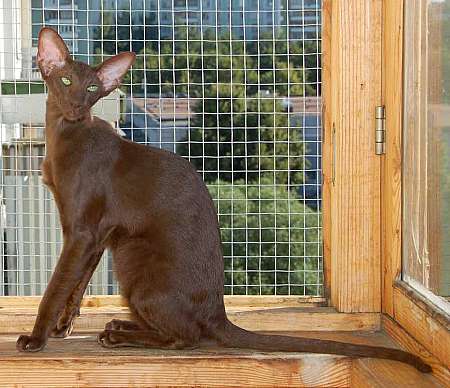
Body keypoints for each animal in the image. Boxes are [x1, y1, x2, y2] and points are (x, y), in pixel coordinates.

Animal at [16, 27, 432, 372]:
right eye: (65, 81)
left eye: (92, 89)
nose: (76, 106)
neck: (66, 136)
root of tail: (219, 311)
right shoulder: (94, 237)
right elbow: (76, 287)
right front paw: (62, 328)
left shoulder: (83, 231)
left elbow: (56, 287)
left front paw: (36, 339)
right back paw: (122, 325)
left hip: (133, 263)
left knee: (187, 337)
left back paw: (119, 334)